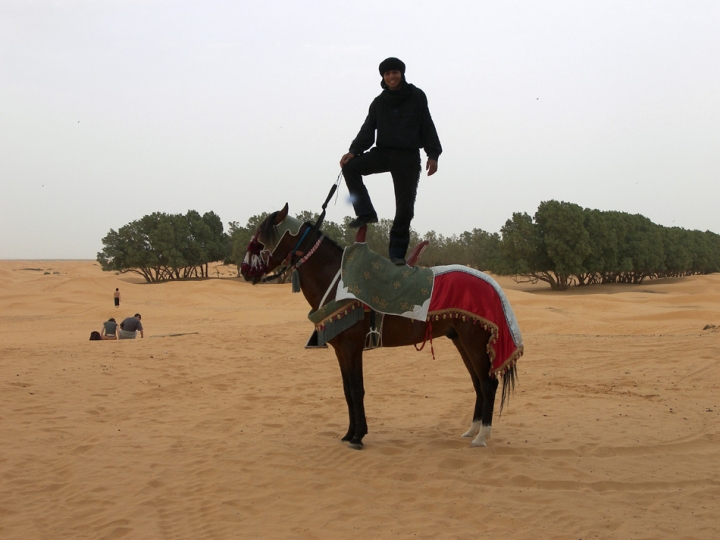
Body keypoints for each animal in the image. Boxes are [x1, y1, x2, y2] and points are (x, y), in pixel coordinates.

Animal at [239, 205, 520, 450]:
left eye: (260, 240)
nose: (244, 271)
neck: (337, 281)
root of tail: (492, 285)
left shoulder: (352, 347)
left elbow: (356, 390)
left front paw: (358, 437)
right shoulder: (340, 350)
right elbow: (347, 391)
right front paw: (349, 433)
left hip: (474, 341)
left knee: (487, 383)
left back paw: (481, 437)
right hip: (461, 340)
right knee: (477, 382)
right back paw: (472, 430)